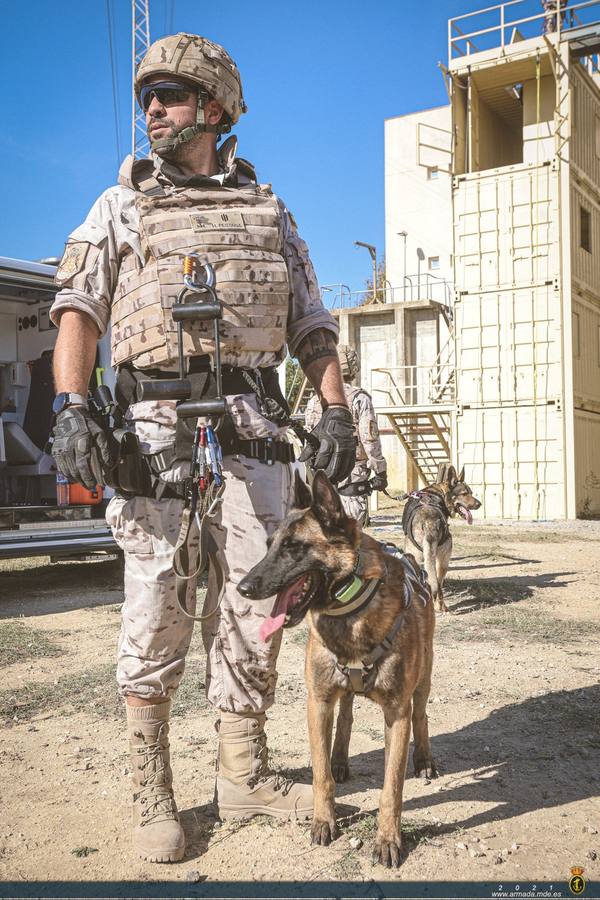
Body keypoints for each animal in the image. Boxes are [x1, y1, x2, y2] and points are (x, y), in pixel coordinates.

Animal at [237, 472, 438, 864]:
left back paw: (423, 760)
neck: (351, 613)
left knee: (421, 714)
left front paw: (388, 839)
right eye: (269, 545)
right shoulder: (318, 702)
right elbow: (321, 774)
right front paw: (323, 820)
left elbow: (392, 786)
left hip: (423, 678)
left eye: (294, 547)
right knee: (346, 714)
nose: (243, 587)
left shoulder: (397, 714)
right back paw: (341, 759)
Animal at [404, 464, 482, 612]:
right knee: (438, 584)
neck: (438, 492)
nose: (479, 504)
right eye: (464, 493)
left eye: (471, 492)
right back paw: (441, 607)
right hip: (441, 559)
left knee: (436, 584)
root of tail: (429, 522)